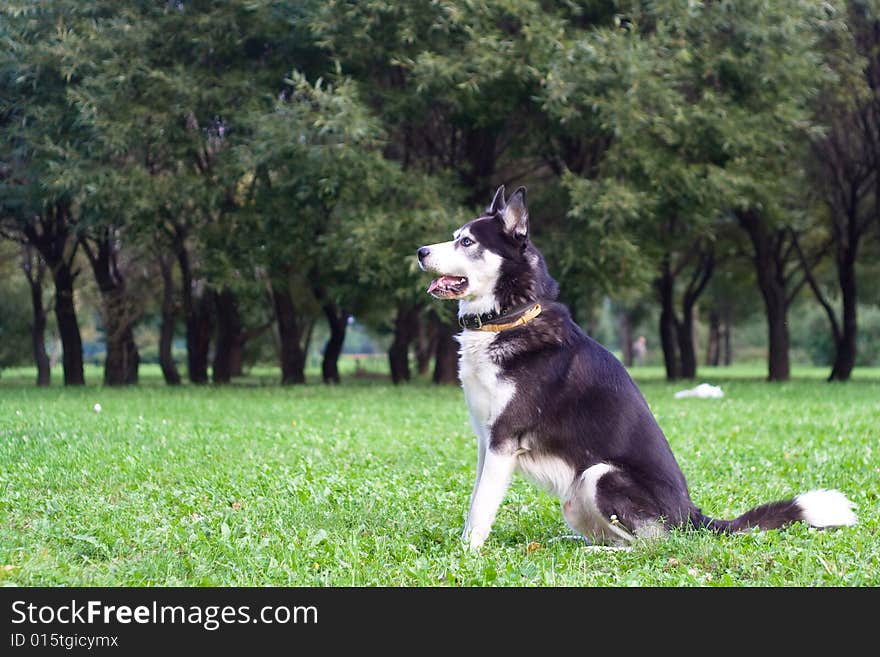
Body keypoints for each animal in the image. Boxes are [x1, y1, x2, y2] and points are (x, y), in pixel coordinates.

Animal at [416, 184, 856, 548]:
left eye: (467, 242)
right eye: (454, 236)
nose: (420, 252)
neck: (510, 317)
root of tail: (694, 517)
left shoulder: (503, 441)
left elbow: (480, 510)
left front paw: (466, 555)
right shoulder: (486, 442)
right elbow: (477, 501)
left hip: (600, 475)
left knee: (651, 545)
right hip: (577, 498)